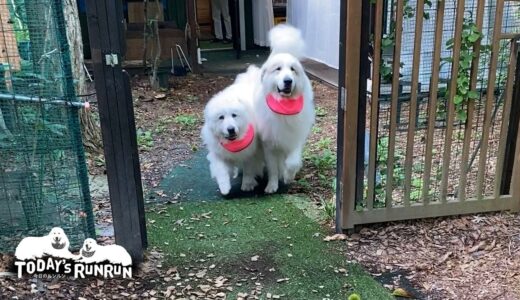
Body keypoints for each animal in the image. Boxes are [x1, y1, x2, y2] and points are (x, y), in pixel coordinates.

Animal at [200, 67, 264, 196]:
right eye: (221, 117)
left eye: (234, 115)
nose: (231, 129)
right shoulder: (219, 153)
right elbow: (221, 171)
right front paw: (225, 188)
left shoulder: (251, 153)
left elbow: (249, 170)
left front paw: (247, 185)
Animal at [254, 22, 314, 192]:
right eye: (278, 69)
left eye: (293, 69)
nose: (288, 81)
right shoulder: (269, 143)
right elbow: (273, 167)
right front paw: (272, 185)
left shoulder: (295, 138)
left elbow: (292, 162)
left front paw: (288, 176)